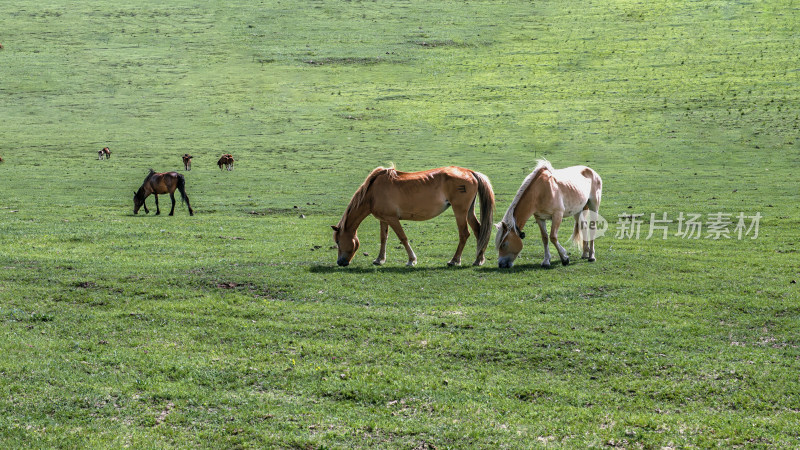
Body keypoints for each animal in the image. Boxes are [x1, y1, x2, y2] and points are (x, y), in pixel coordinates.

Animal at [332, 166, 494, 268]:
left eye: (338, 241)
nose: (340, 262)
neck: (373, 192)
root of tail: (470, 172)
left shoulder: (392, 219)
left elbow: (403, 238)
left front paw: (411, 260)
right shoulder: (384, 219)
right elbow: (383, 238)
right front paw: (380, 259)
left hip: (460, 210)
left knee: (464, 234)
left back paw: (454, 261)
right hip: (469, 211)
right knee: (478, 230)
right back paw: (478, 260)